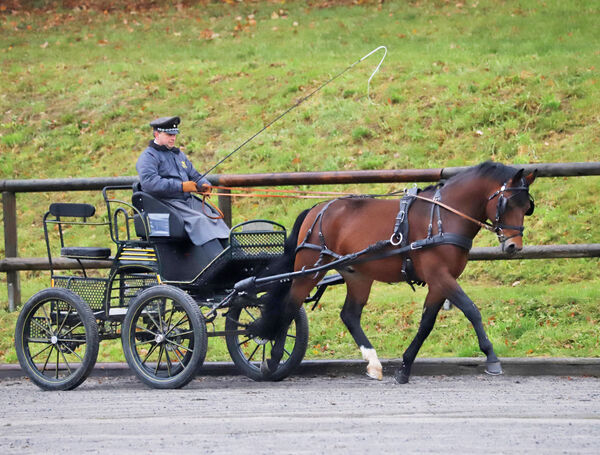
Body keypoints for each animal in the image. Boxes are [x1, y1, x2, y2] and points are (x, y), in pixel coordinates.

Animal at [251, 161, 536, 384]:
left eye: (527, 207)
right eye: (507, 203)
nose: (514, 246)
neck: (444, 216)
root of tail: (317, 209)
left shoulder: (438, 282)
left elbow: (426, 324)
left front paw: (404, 368)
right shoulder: (440, 276)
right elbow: (471, 309)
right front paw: (492, 357)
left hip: (357, 274)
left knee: (349, 315)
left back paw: (373, 363)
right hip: (309, 269)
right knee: (290, 306)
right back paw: (274, 360)